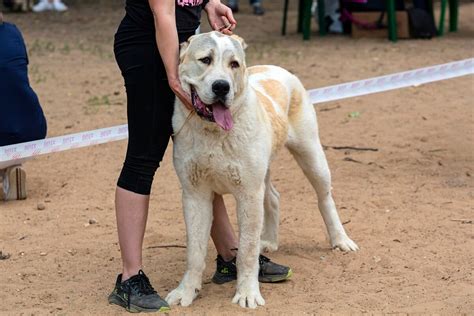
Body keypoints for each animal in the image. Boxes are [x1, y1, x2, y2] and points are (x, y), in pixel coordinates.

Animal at [167, 31, 360, 308]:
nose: (221, 87)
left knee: (325, 197)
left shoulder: (248, 193)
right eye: (205, 60)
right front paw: (186, 291)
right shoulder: (195, 195)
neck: (213, 134)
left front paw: (247, 293)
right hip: (264, 172)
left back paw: (340, 240)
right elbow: (194, 250)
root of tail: (276, 67)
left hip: (311, 155)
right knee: (274, 198)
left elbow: (246, 250)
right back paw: (268, 240)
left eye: (234, 64)